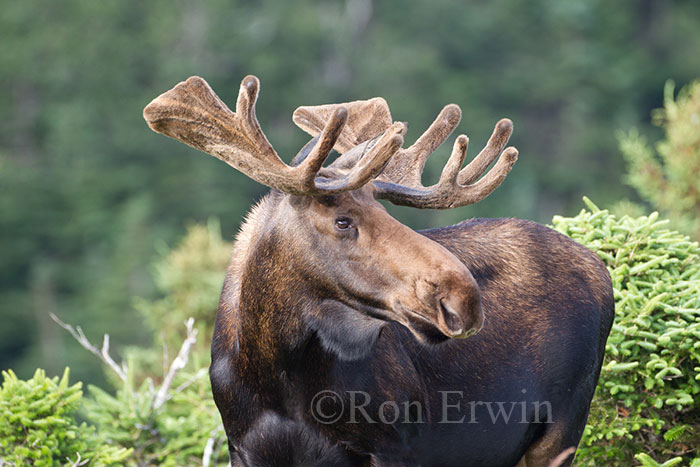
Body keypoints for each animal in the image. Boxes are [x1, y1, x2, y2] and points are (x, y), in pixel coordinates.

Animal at [143, 75, 614, 467]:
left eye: (384, 210)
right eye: (342, 221)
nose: (462, 298)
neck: (273, 374)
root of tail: (601, 268)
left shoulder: (394, 449)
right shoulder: (245, 451)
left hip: (562, 429)